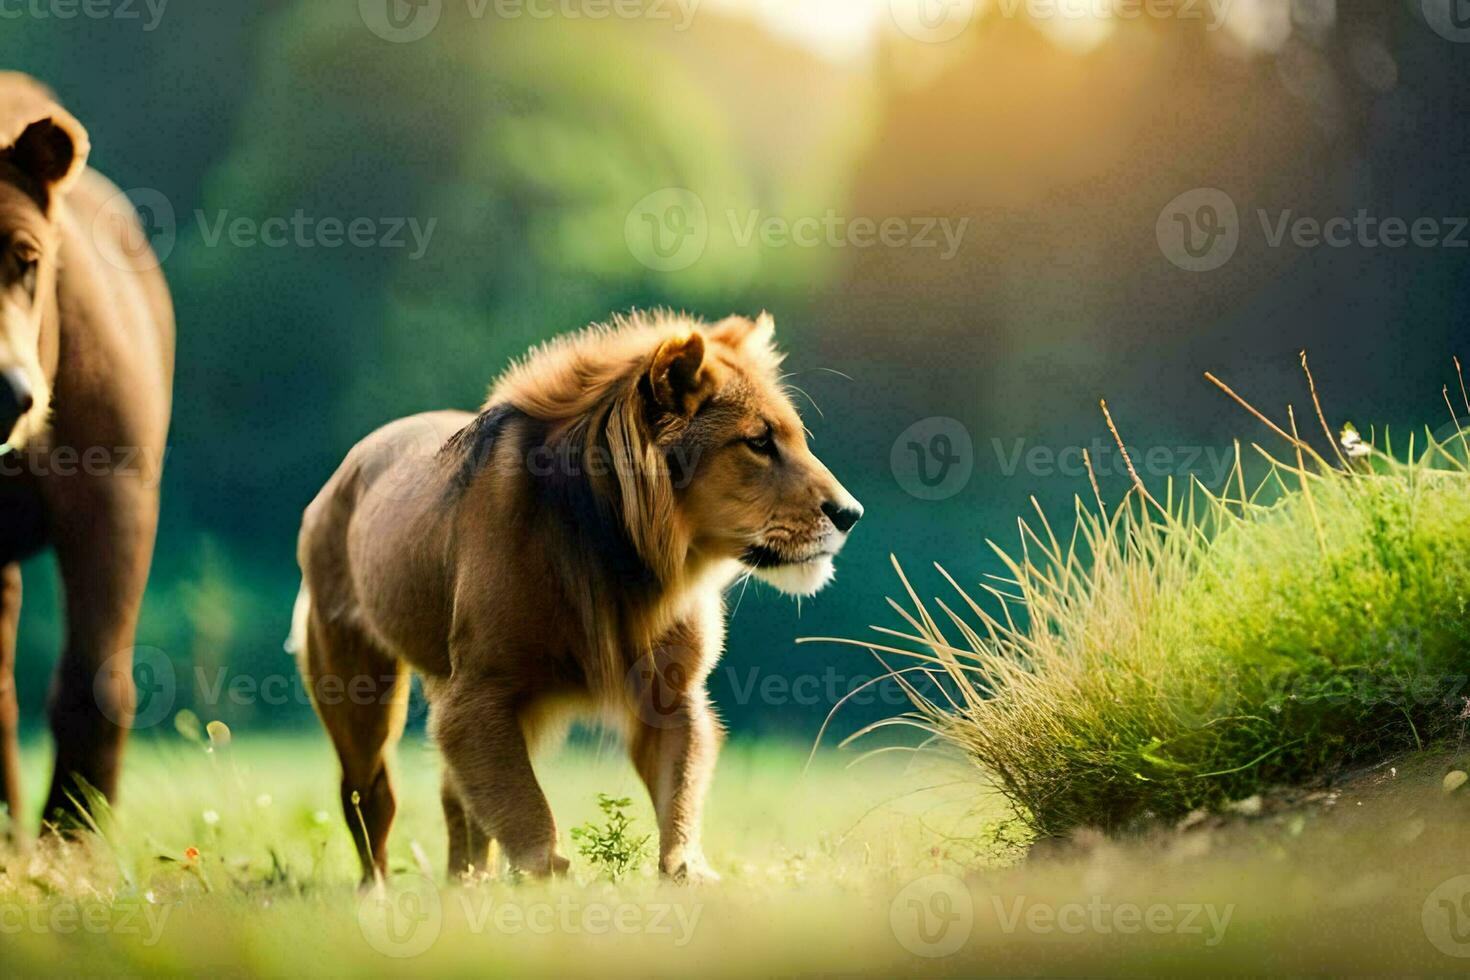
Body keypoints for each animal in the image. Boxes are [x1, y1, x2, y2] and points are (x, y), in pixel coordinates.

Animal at [289, 312, 858, 881]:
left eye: (795, 439)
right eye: (758, 442)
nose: (851, 513)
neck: (627, 561)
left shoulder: (672, 696)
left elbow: (679, 800)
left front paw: (690, 876)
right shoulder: (477, 696)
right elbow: (525, 813)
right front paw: (547, 885)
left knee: (457, 803)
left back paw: (465, 887)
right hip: (355, 686)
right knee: (370, 798)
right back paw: (378, 893)